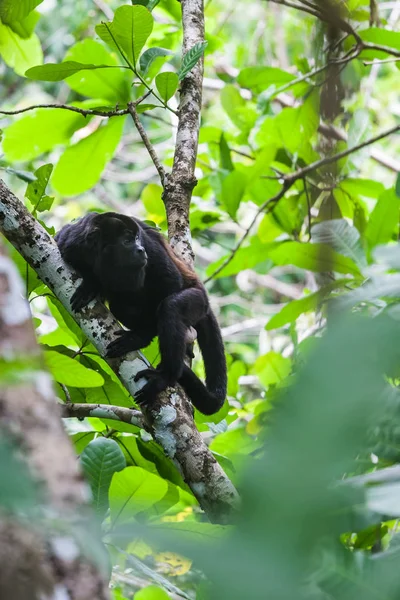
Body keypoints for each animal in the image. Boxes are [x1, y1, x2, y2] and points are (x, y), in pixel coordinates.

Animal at [54, 213, 227, 414]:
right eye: (127, 241)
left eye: (137, 239)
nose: (140, 249)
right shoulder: (73, 242)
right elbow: (60, 242)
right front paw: (91, 283)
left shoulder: (150, 248)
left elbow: (170, 282)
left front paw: (139, 338)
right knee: (119, 305)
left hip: (199, 301)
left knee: (171, 307)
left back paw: (165, 375)